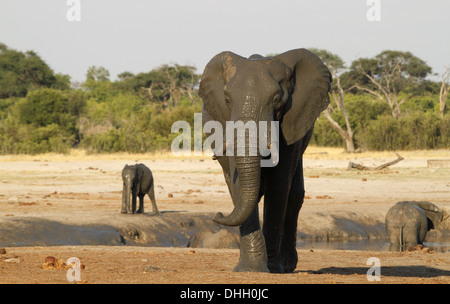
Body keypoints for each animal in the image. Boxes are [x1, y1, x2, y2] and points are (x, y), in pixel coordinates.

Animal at [199, 48, 332, 274]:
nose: (217, 215)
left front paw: (273, 267)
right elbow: (238, 184)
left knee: (295, 194)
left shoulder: (292, 119)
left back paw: (287, 266)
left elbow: (279, 187)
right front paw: (250, 269)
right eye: (227, 99)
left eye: (277, 99)